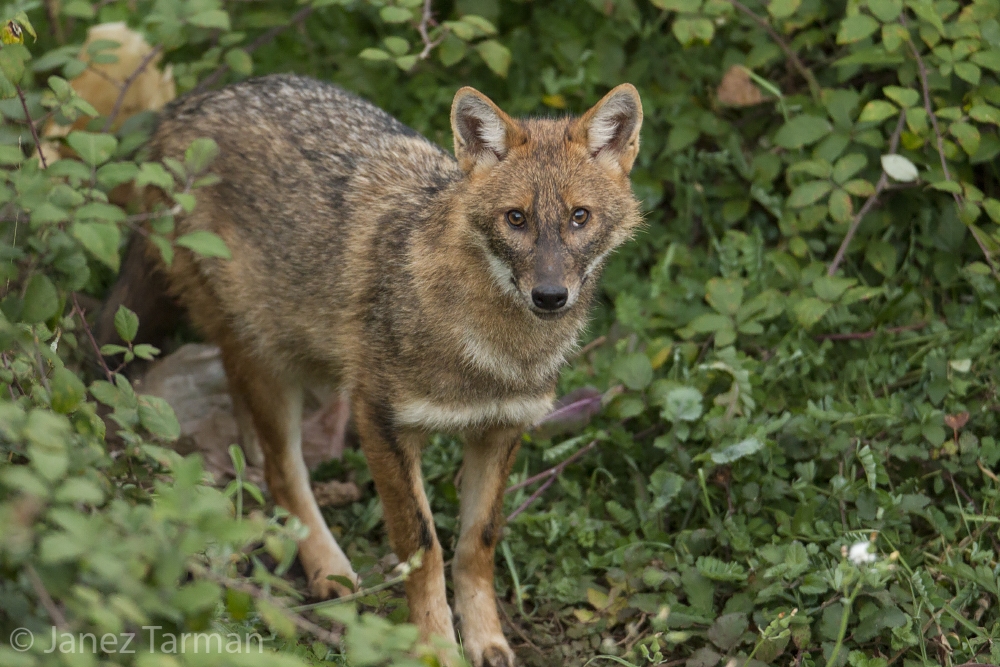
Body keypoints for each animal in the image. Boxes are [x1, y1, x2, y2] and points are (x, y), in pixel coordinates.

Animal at [102, 74, 643, 666]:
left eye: (579, 217)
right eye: (516, 219)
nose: (550, 296)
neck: (496, 352)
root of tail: (188, 103)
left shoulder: (502, 430)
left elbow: (476, 543)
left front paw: (486, 639)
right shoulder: (380, 421)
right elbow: (423, 546)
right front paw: (436, 648)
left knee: (255, 457)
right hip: (270, 364)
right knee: (283, 473)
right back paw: (330, 573)